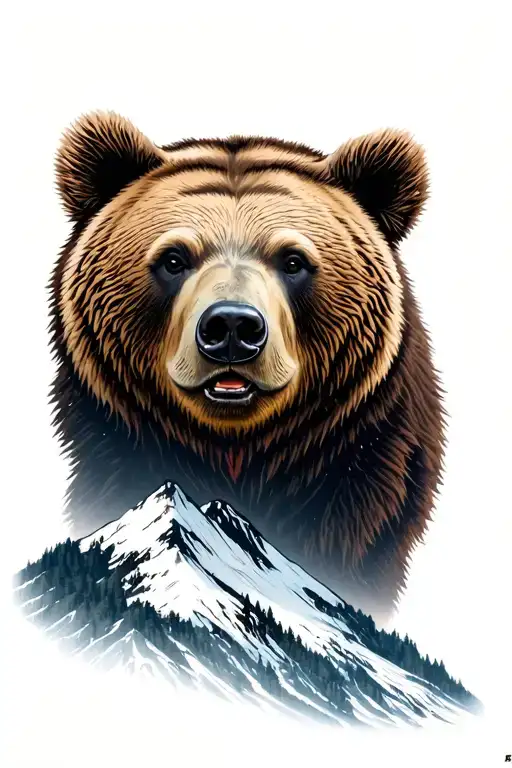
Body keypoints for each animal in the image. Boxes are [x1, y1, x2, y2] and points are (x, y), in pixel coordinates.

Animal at [49, 111, 445, 623]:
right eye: (173, 258)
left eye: (293, 260)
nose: (232, 327)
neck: (240, 453)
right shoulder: (115, 450)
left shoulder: (363, 476)